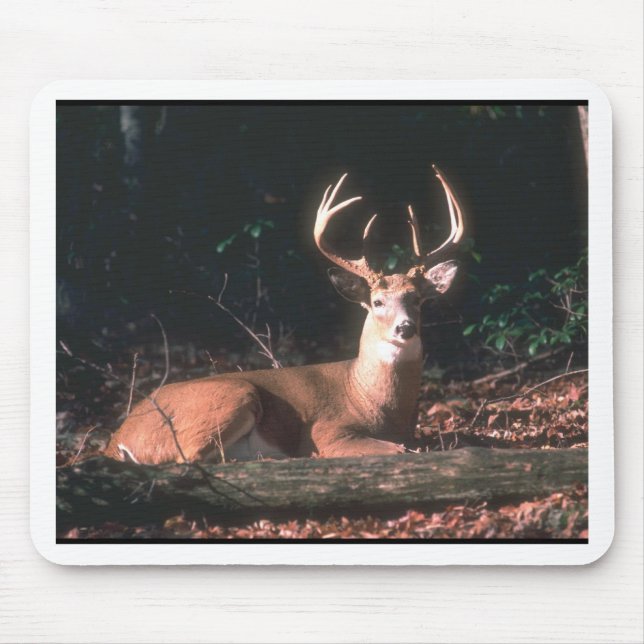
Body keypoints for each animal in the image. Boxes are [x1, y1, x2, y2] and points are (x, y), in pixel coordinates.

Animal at [104, 165, 465, 464]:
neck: (370, 397)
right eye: (376, 302)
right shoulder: (327, 431)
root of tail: (117, 439)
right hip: (232, 395)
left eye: (417, 299)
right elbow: (400, 449)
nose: (405, 328)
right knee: (188, 457)